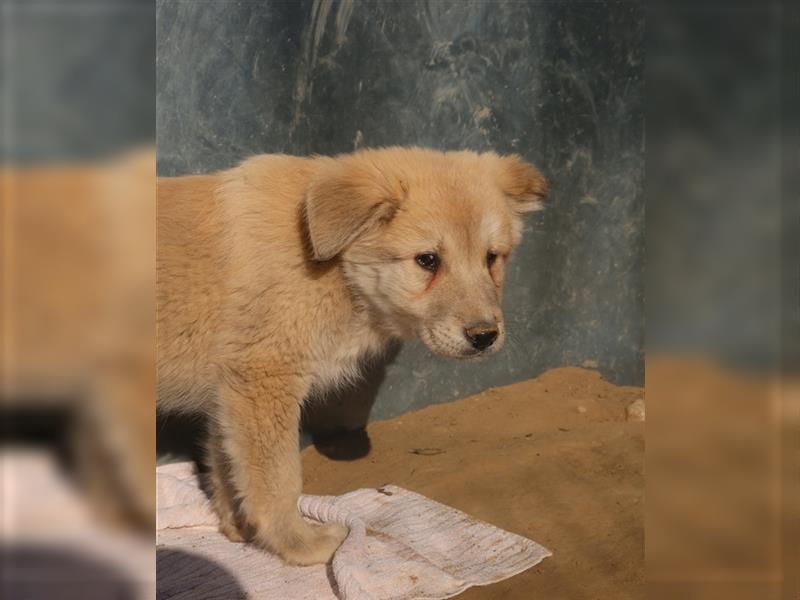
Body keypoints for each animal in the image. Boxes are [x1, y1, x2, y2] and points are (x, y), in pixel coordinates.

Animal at [158, 148, 552, 564]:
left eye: (492, 258)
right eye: (427, 260)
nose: (484, 336)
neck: (336, 268)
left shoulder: (229, 393)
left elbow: (227, 467)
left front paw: (240, 527)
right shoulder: (263, 381)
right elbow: (278, 480)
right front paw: (299, 544)